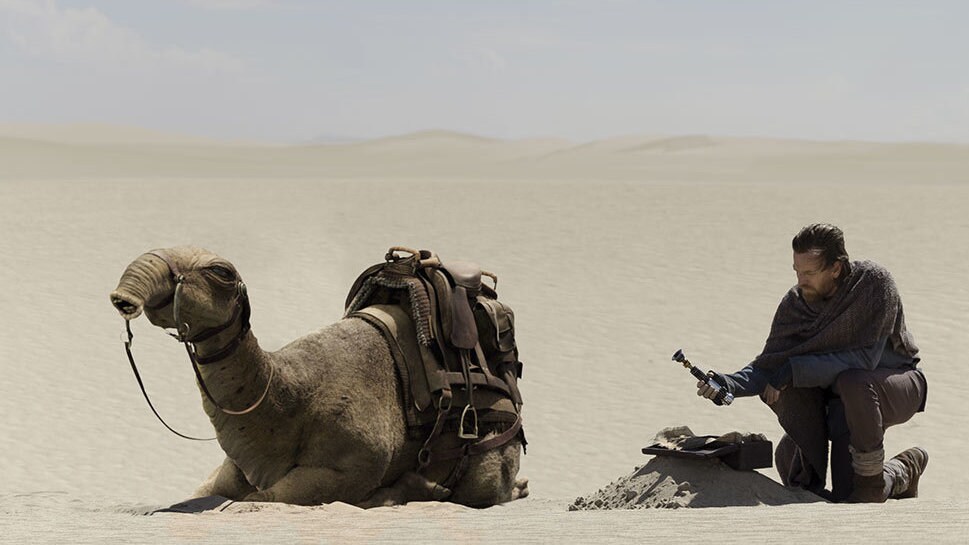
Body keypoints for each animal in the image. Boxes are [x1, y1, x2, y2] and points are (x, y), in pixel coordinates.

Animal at [110, 247, 527, 508]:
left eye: (221, 272)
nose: (122, 299)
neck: (289, 395)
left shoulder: (345, 466)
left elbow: (258, 500)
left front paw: (399, 492)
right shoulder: (235, 467)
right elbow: (205, 493)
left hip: (491, 455)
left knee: (490, 489)